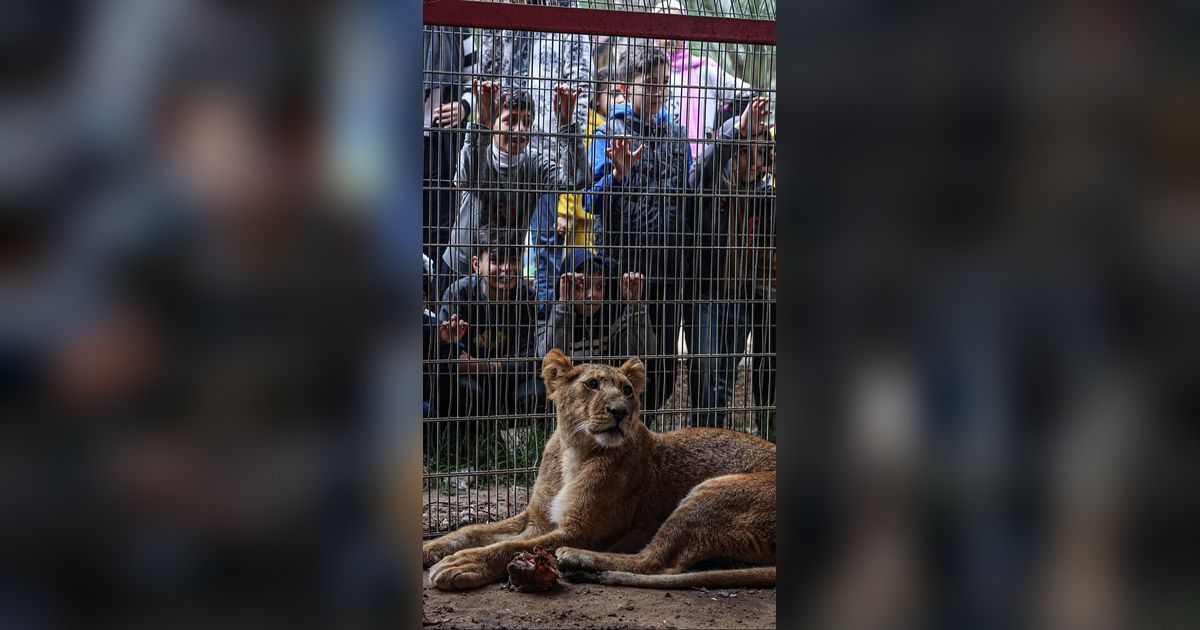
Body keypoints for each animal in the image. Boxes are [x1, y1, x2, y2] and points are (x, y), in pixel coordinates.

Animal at [422, 348, 777, 590]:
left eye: (628, 391)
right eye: (591, 384)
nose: (620, 411)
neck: (575, 451)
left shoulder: (581, 530)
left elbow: (511, 546)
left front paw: (465, 563)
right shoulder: (535, 519)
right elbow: (471, 532)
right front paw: (431, 547)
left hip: (713, 492)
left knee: (657, 563)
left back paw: (575, 558)